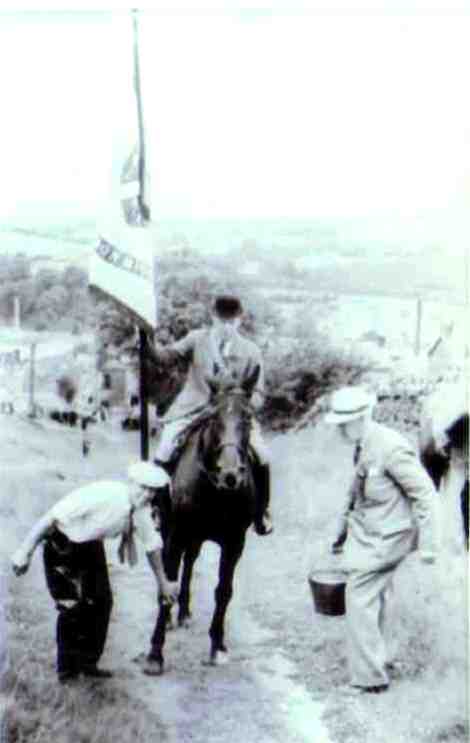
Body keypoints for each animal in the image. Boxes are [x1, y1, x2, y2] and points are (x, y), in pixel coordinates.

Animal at [147, 364, 262, 676]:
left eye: (248, 416)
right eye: (213, 417)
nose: (230, 474)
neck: (217, 491)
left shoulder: (235, 543)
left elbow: (224, 591)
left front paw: (217, 645)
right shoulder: (176, 536)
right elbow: (167, 584)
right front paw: (155, 654)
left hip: (197, 538)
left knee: (190, 563)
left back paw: (184, 612)